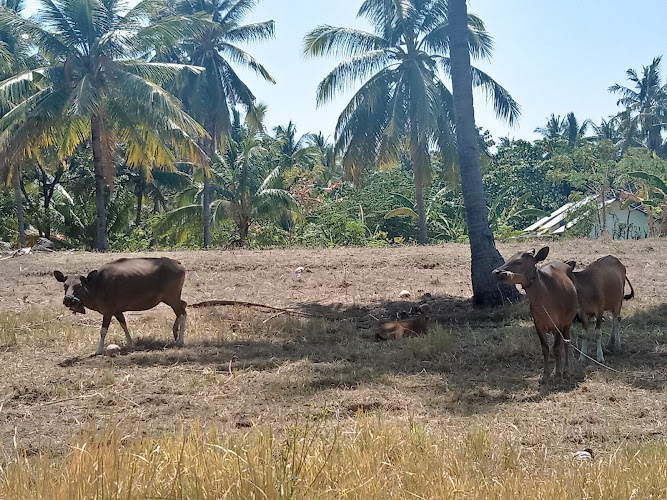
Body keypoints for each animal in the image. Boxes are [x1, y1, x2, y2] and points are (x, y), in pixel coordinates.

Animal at [52, 258, 187, 356]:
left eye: (79, 285)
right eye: (65, 285)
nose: (68, 299)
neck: (97, 287)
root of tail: (178, 263)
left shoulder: (108, 311)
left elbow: (103, 331)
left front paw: (98, 350)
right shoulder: (117, 310)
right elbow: (123, 324)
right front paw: (130, 343)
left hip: (171, 296)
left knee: (182, 312)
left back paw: (180, 340)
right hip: (171, 298)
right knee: (183, 306)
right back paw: (175, 333)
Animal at [490, 246, 580, 378]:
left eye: (519, 261)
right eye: (509, 258)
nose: (495, 272)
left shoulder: (559, 322)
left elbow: (557, 348)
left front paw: (558, 373)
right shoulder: (537, 323)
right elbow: (545, 348)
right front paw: (546, 374)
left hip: (569, 320)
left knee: (566, 341)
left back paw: (566, 369)